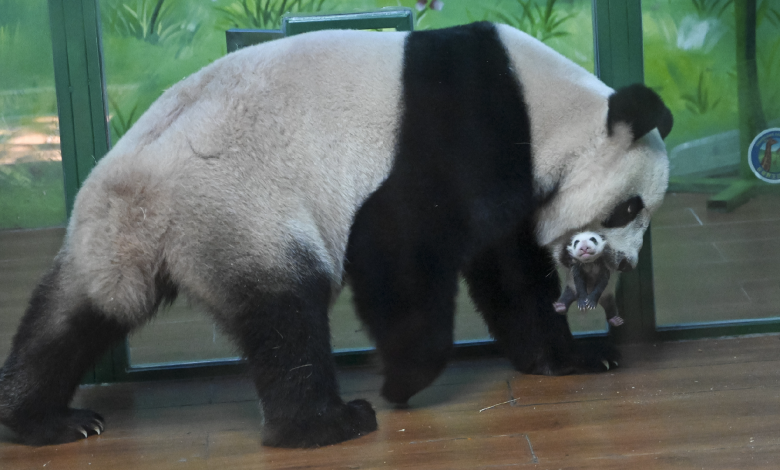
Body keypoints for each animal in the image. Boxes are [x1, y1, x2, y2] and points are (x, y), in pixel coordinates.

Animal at [0, 22, 672, 448]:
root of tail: (145, 198)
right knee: (285, 312)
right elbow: (397, 242)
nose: (625, 264)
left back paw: (41, 418)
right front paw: (403, 380)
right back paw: (325, 424)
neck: (546, 109)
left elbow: (510, 273)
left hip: (115, 236)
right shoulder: (466, 126)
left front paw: (571, 358)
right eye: (628, 208)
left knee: (78, 314)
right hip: (243, 207)